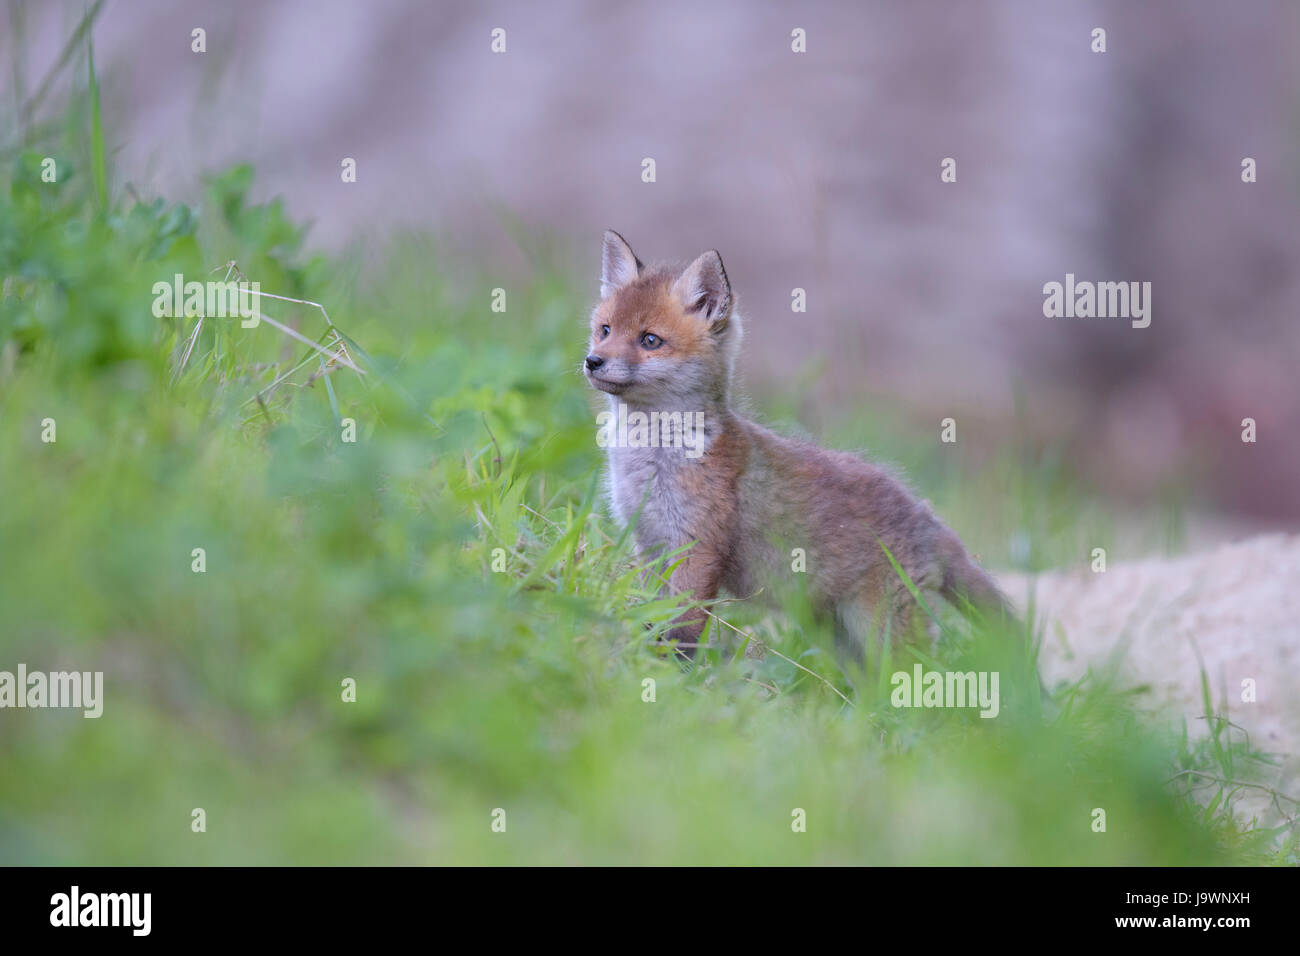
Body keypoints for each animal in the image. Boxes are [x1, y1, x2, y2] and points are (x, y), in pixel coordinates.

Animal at [582, 228, 1013, 660]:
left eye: (650, 340)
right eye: (605, 330)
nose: (592, 361)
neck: (651, 459)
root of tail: (925, 514)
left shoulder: (697, 547)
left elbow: (683, 628)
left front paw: (673, 667)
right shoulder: (648, 543)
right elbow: (652, 608)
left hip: (885, 637)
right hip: (841, 640)